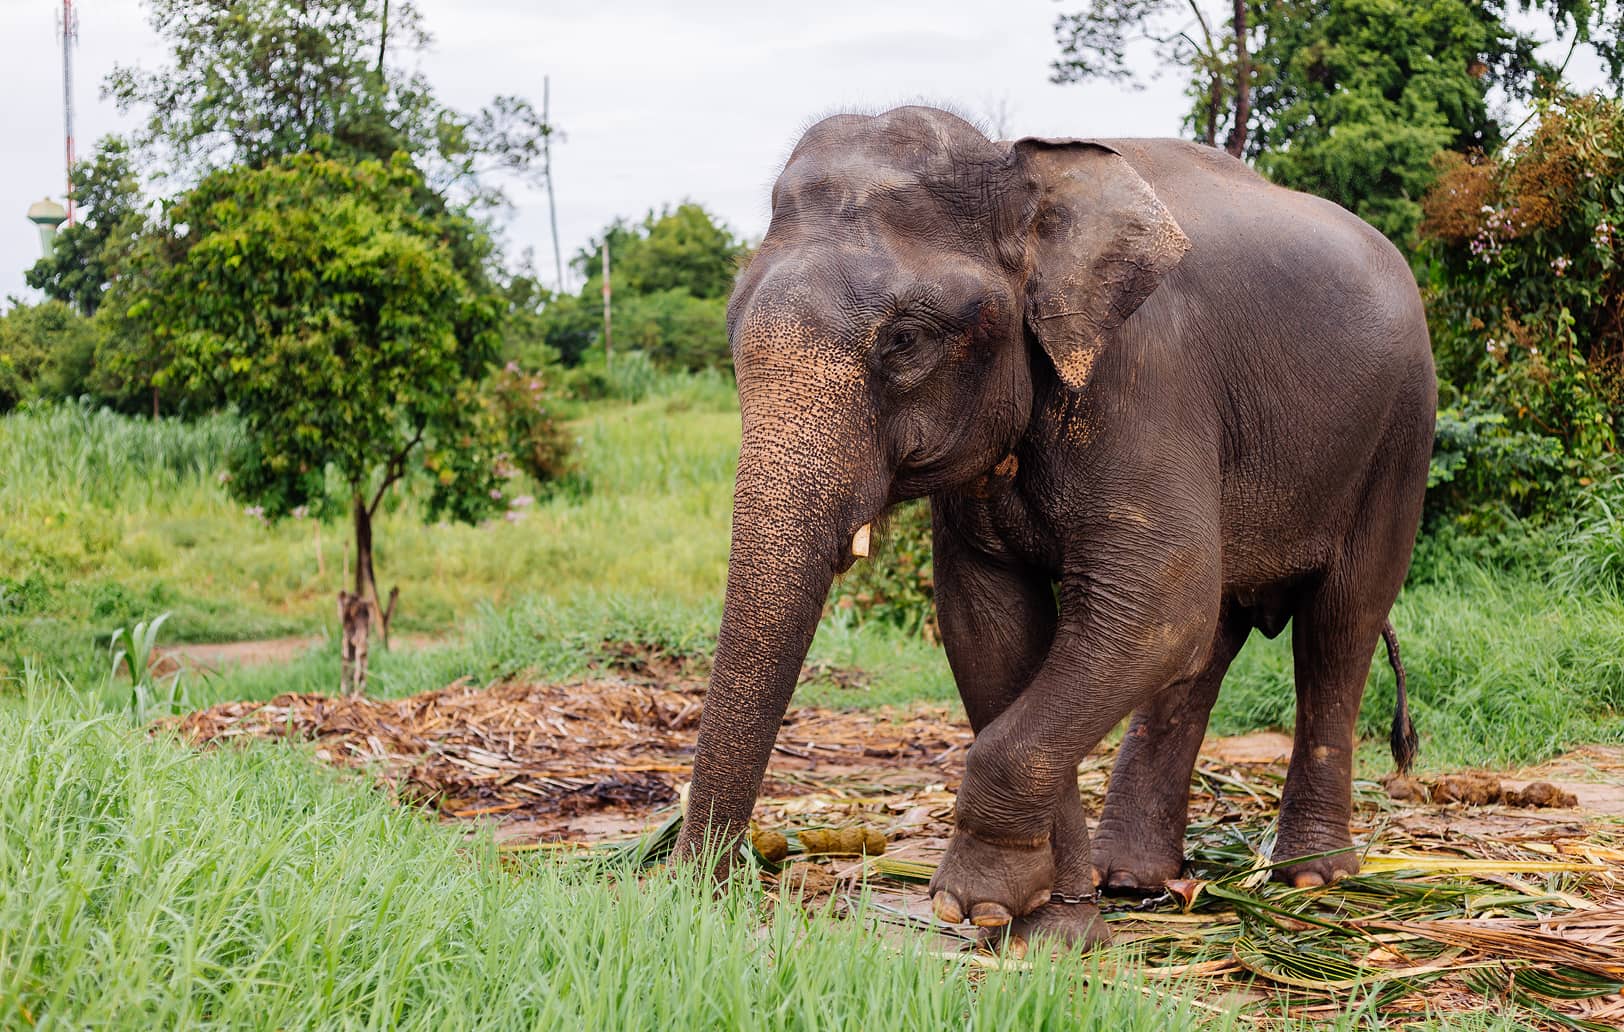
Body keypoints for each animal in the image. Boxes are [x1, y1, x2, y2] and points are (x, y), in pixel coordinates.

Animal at [670, 105, 1435, 951]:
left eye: (904, 341)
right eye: (731, 330)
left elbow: (1157, 598)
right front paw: (1051, 931)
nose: (706, 893)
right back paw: (1131, 878)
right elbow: (992, 627)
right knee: (1206, 646)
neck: (1019, 170)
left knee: (1337, 625)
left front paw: (972, 901)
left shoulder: (1146, 376)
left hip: (1401, 432)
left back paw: (1310, 878)